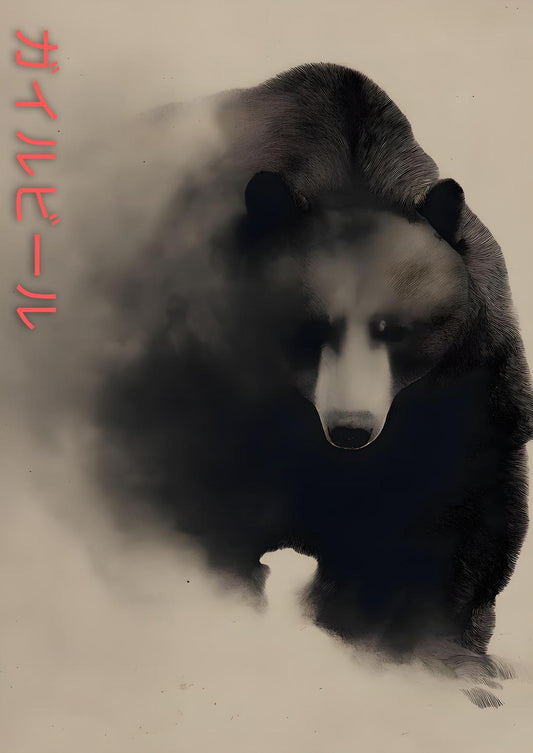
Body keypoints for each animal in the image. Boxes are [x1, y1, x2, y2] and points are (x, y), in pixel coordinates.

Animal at [93, 63, 533, 697]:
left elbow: (455, 513)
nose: (351, 428)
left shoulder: (466, 383)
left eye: (396, 330)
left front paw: (449, 658)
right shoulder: (196, 365)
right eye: (310, 328)